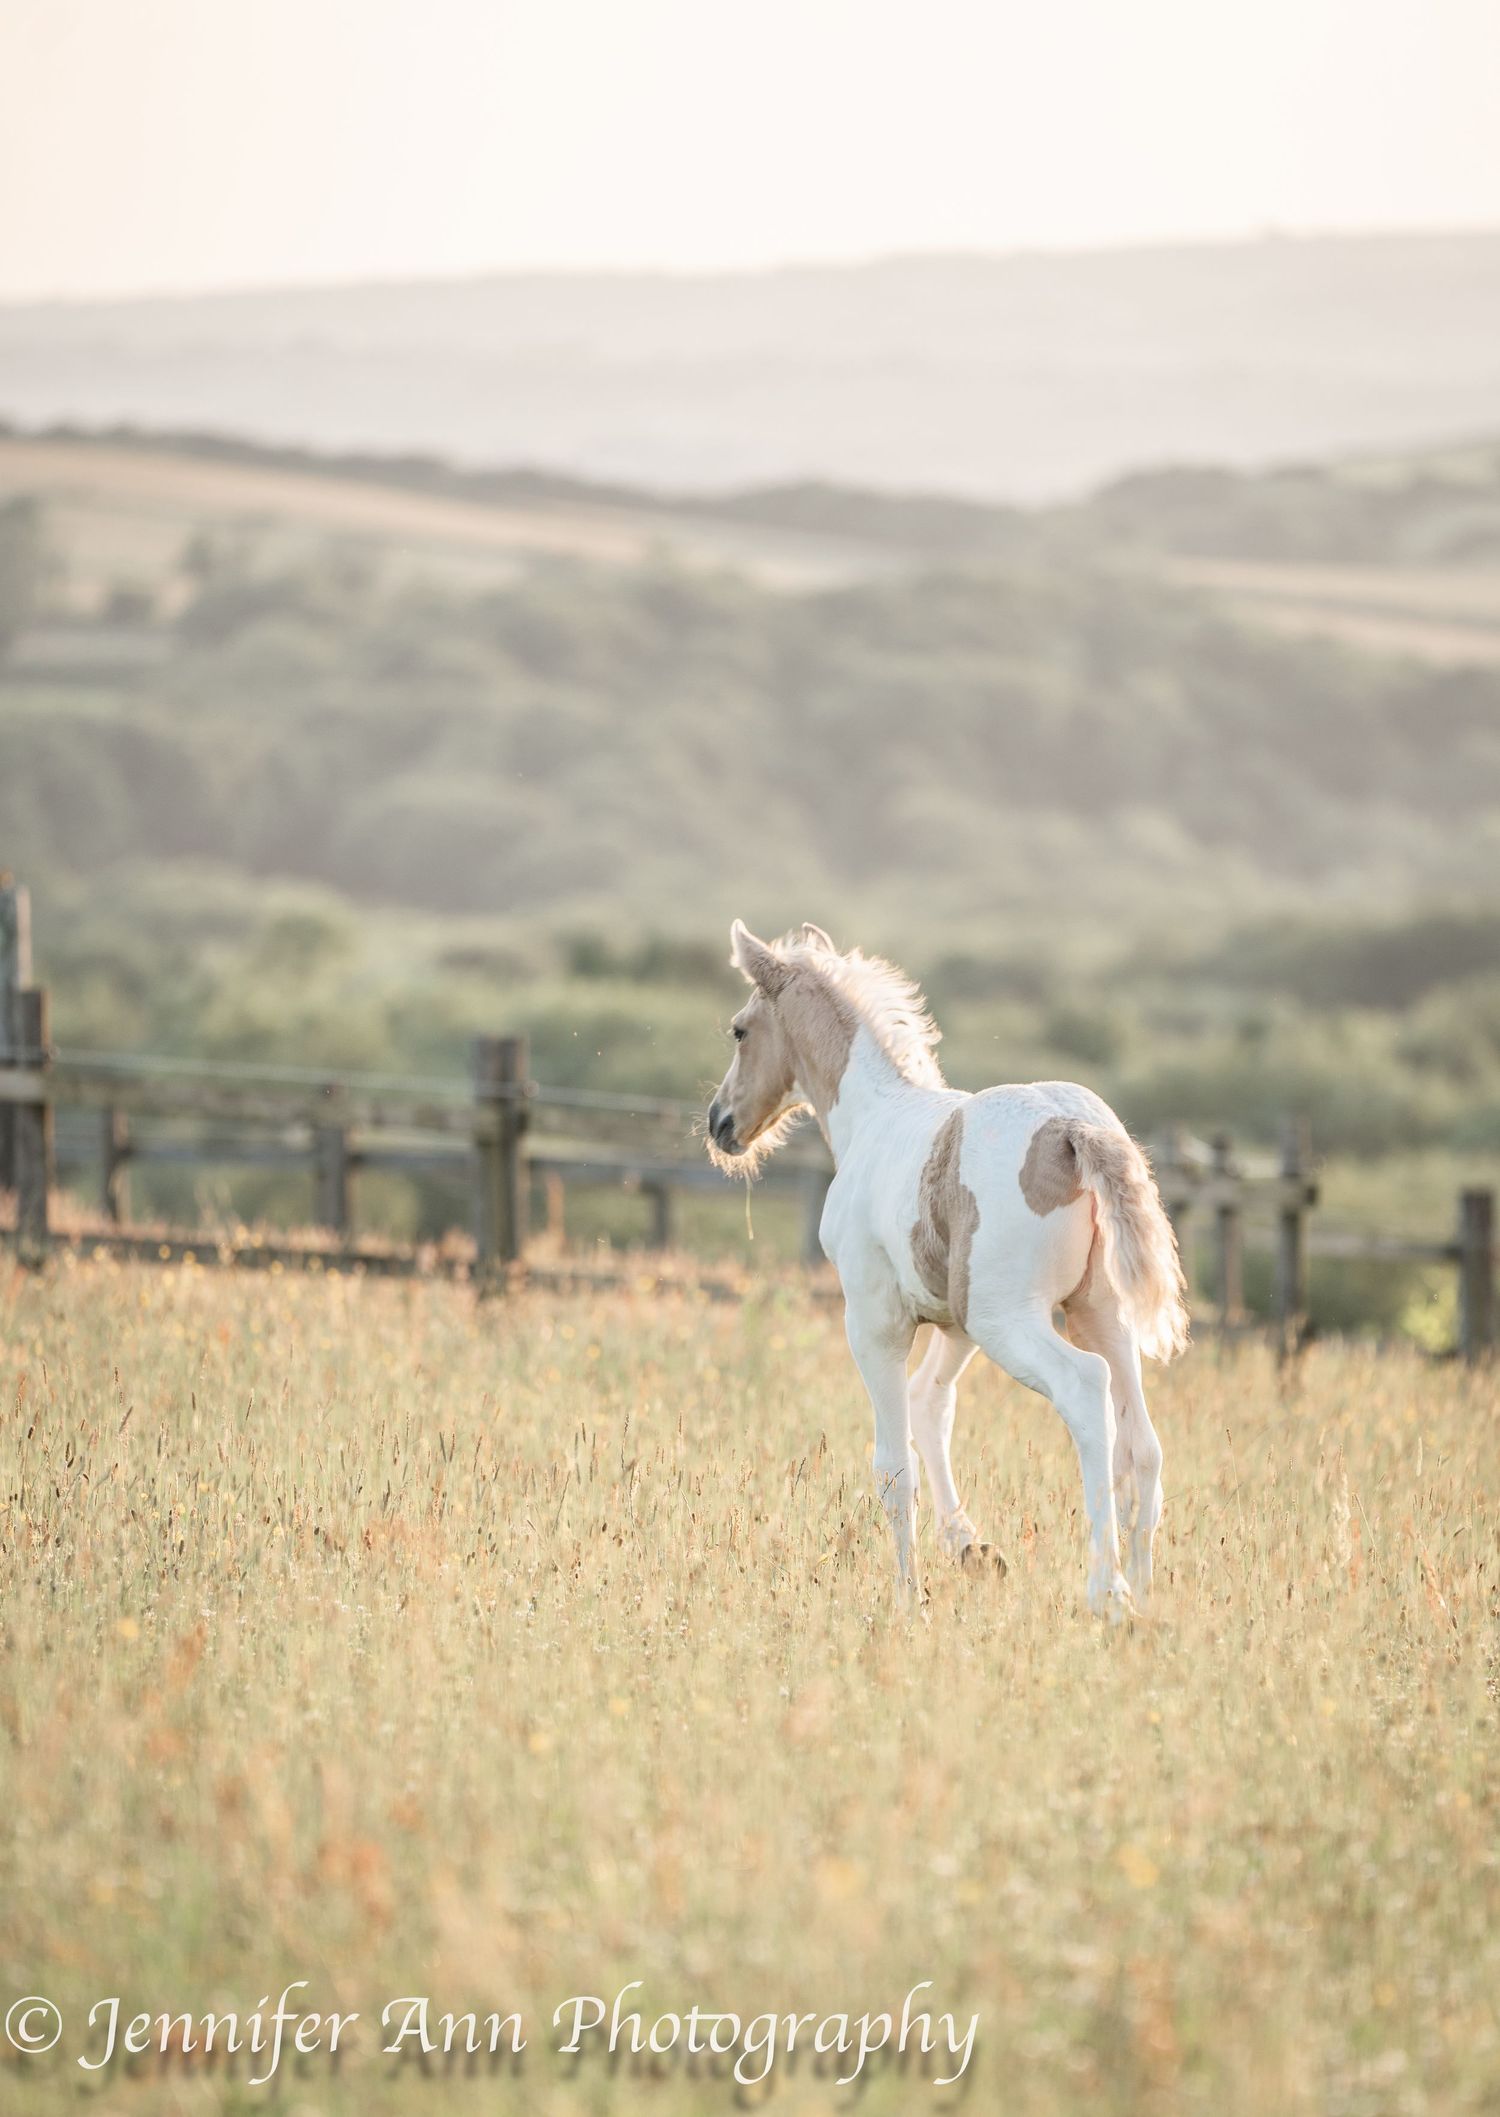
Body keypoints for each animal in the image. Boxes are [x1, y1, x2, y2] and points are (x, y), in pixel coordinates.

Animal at [705, 922, 1188, 1617]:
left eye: (741, 1030)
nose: (720, 1123)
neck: (875, 1118)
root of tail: (1071, 1131)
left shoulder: (875, 1321)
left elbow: (892, 1465)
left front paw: (909, 1599)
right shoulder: (952, 1324)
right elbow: (931, 1404)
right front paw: (970, 1548)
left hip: (1009, 1321)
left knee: (1084, 1389)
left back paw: (1108, 1591)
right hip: (1097, 1311)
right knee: (1141, 1444)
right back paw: (1145, 1593)